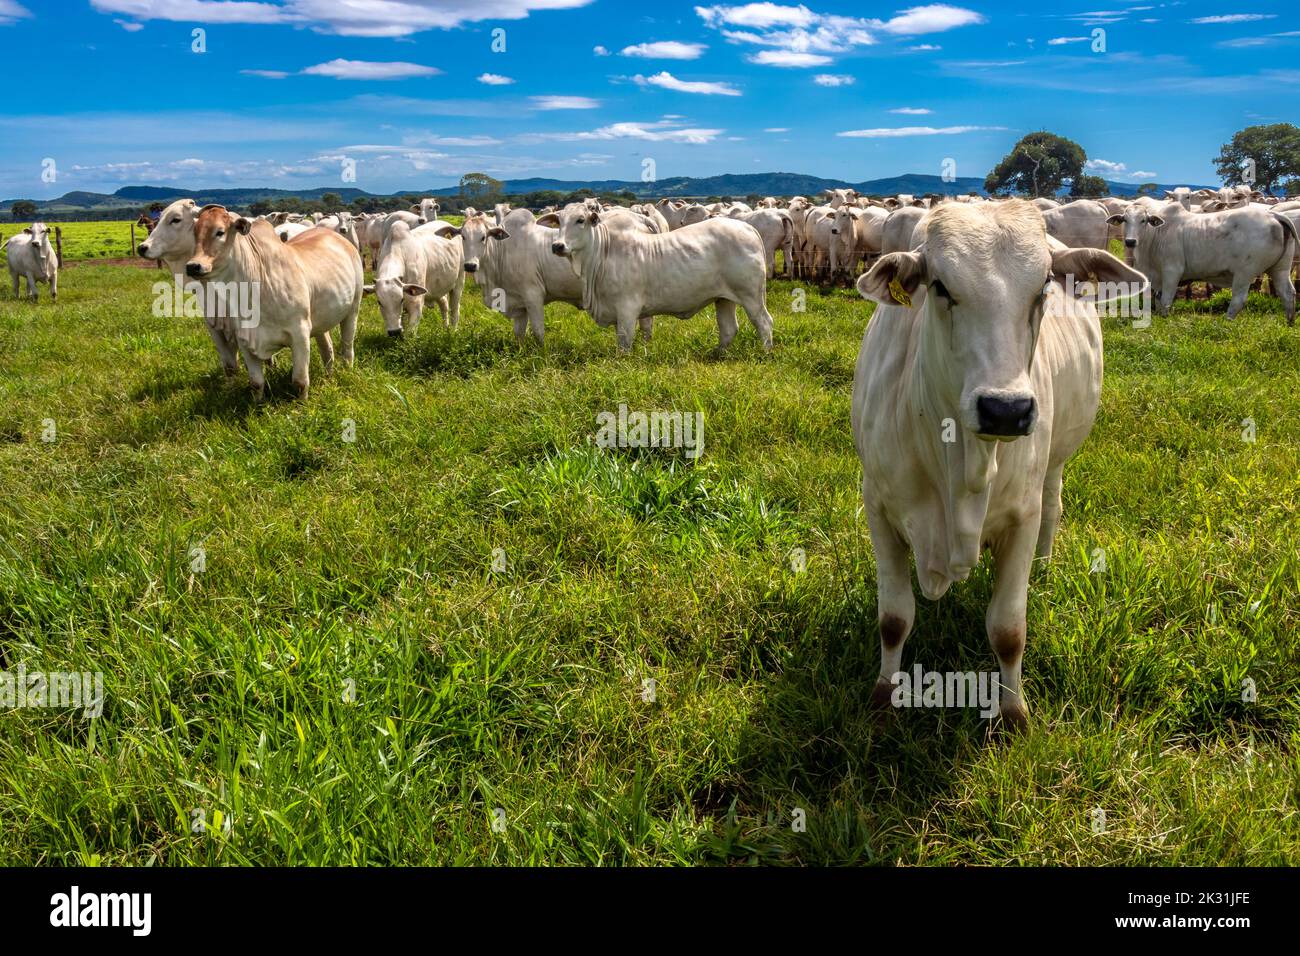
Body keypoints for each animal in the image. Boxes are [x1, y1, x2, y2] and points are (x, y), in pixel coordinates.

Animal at [185, 205, 364, 400]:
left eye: (220, 232)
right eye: (195, 233)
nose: (193, 266)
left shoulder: (300, 333)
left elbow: (300, 381)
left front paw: (302, 404)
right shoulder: (244, 338)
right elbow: (256, 383)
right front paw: (257, 405)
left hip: (353, 310)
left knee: (347, 347)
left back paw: (346, 371)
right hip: (320, 321)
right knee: (327, 348)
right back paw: (328, 376)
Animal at [546, 204, 769, 351]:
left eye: (580, 220)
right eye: (559, 222)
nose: (557, 246)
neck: (601, 255)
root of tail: (748, 227)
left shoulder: (627, 308)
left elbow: (624, 343)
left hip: (751, 296)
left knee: (764, 322)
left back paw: (765, 352)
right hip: (723, 298)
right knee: (728, 328)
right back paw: (717, 354)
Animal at [852, 200, 1149, 723]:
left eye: (1044, 286)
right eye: (940, 287)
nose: (1005, 409)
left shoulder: (1021, 517)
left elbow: (1008, 630)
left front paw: (1014, 712)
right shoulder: (878, 507)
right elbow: (894, 618)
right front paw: (885, 696)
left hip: (1054, 466)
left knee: (1053, 507)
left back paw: (1045, 567)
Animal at [1107, 200, 1300, 323]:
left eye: (1143, 220)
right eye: (1124, 220)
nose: (1130, 241)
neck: (1156, 235)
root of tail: (1273, 214)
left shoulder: (1172, 271)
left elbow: (1166, 300)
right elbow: (1158, 301)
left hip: (1245, 273)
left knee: (1238, 299)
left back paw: (1226, 322)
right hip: (1280, 269)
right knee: (1288, 294)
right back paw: (1289, 322)